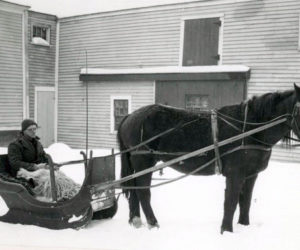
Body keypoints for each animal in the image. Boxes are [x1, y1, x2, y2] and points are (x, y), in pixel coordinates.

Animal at [118, 83, 300, 232]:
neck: (249, 129)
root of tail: (129, 117)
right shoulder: (235, 173)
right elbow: (231, 202)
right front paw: (226, 230)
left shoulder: (251, 175)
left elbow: (245, 202)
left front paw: (244, 226)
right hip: (143, 162)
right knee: (143, 192)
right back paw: (153, 223)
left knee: (134, 190)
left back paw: (136, 220)